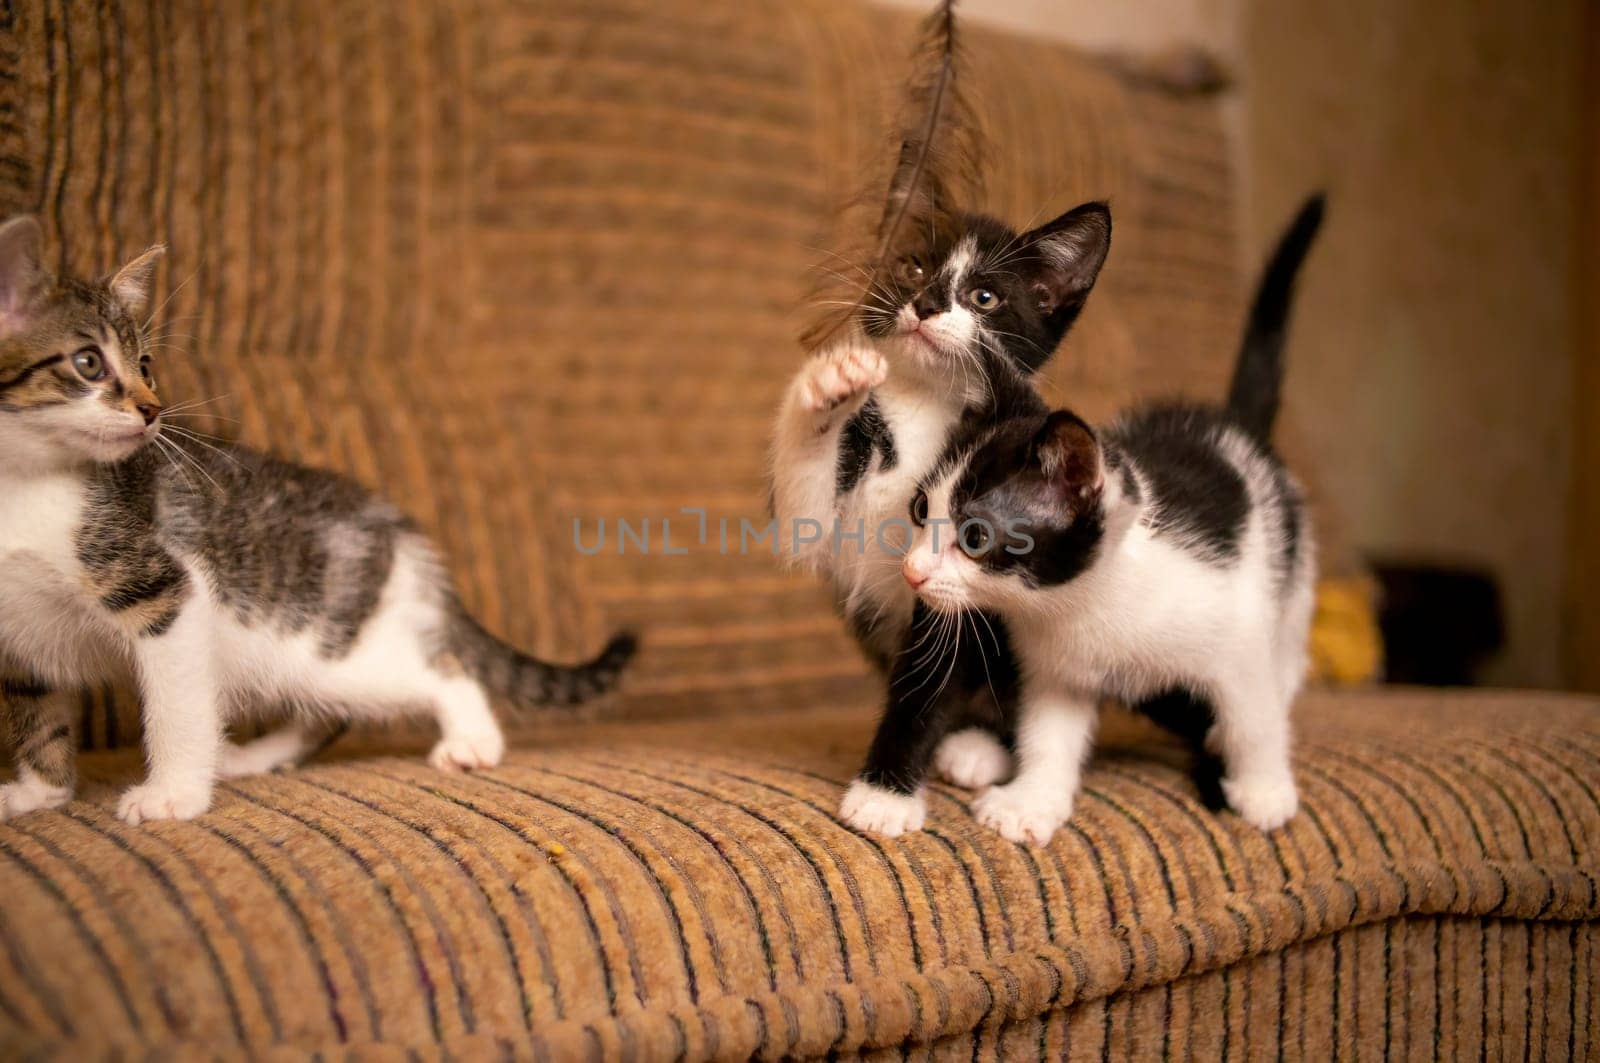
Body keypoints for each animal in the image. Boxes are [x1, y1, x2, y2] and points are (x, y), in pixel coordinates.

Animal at [0, 211, 636, 816]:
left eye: (146, 365)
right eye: (89, 363)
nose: (152, 408)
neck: (20, 484)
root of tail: (394, 526)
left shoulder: (168, 596)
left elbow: (176, 704)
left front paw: (173, 794)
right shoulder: (14, 637)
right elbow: (37, 716)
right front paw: (40, 793)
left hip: (316, 642)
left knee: (441, 670)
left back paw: (471, 740)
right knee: (329, 711)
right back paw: (260, 756)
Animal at [771, 203, 1113, 832]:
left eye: (985, 297)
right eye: (914, 267)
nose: (927, 303)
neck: (925, 407)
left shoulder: (956, 569)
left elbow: (928, 681)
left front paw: (884, 795)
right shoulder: (822, 521)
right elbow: (803, 513)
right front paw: (830, 384)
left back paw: (976, 746)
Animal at [889, 195, 1324, 845]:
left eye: (975, 537)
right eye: (920, 511)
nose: (912, 572)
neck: (1080, 604)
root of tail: (1233, 427)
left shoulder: (1236, 630)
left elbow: (1252, 713)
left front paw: (1265, 789)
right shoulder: (1058, 671)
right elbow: (1049, 733)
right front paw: (1031, 800)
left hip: (1290, 575)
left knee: (1286, 661)